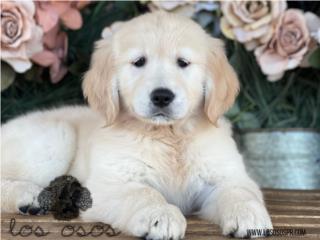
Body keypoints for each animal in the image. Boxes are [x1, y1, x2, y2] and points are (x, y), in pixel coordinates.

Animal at [1, 11, 272, 238]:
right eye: (139, 62)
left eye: (183, 62)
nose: (161, 96)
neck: (168, 136)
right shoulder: (109, 183)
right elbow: (144, 193)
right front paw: (161, 216)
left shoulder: (226, 174)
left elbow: (239, 191)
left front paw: (249, 215)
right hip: (57, 136)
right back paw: (29, 196)